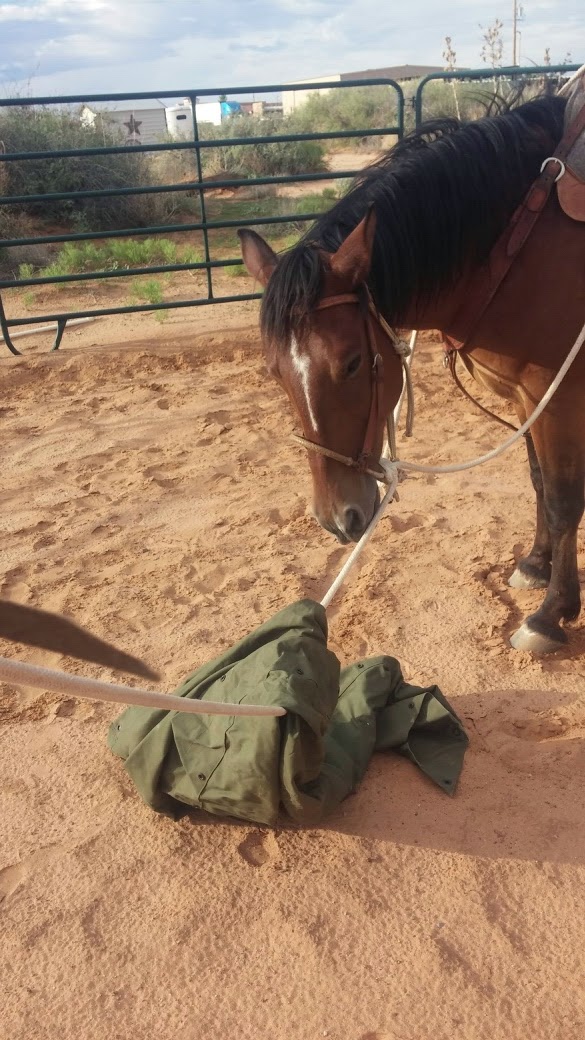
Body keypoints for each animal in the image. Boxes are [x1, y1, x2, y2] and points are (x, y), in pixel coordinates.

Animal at [238, 90, 585, 654]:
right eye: (274, 373)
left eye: (352, 363)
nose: (337, 519)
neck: (522, 242)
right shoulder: (526, 399)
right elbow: (538, 482)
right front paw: (536, 565)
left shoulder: (557, 400)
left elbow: (562, 501)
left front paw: (551, 614)